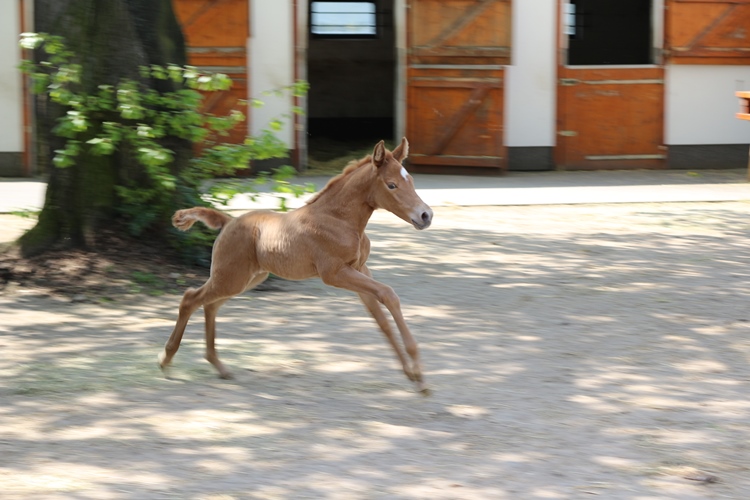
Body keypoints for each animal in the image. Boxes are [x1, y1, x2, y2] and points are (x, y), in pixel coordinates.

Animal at [162, 138, 438, 394]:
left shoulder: (360, 269)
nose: (426, 215)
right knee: (190, 299)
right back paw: (166, 360)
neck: (339, 219)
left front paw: (414, 377)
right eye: (391, 185)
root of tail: (228, 221)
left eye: (411, 180)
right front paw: (417, 370)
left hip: (246, 279)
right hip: (231, 277)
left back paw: (218, 366)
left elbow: (380, 318)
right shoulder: (335, 273)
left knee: (210, 305)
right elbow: (388, 295)